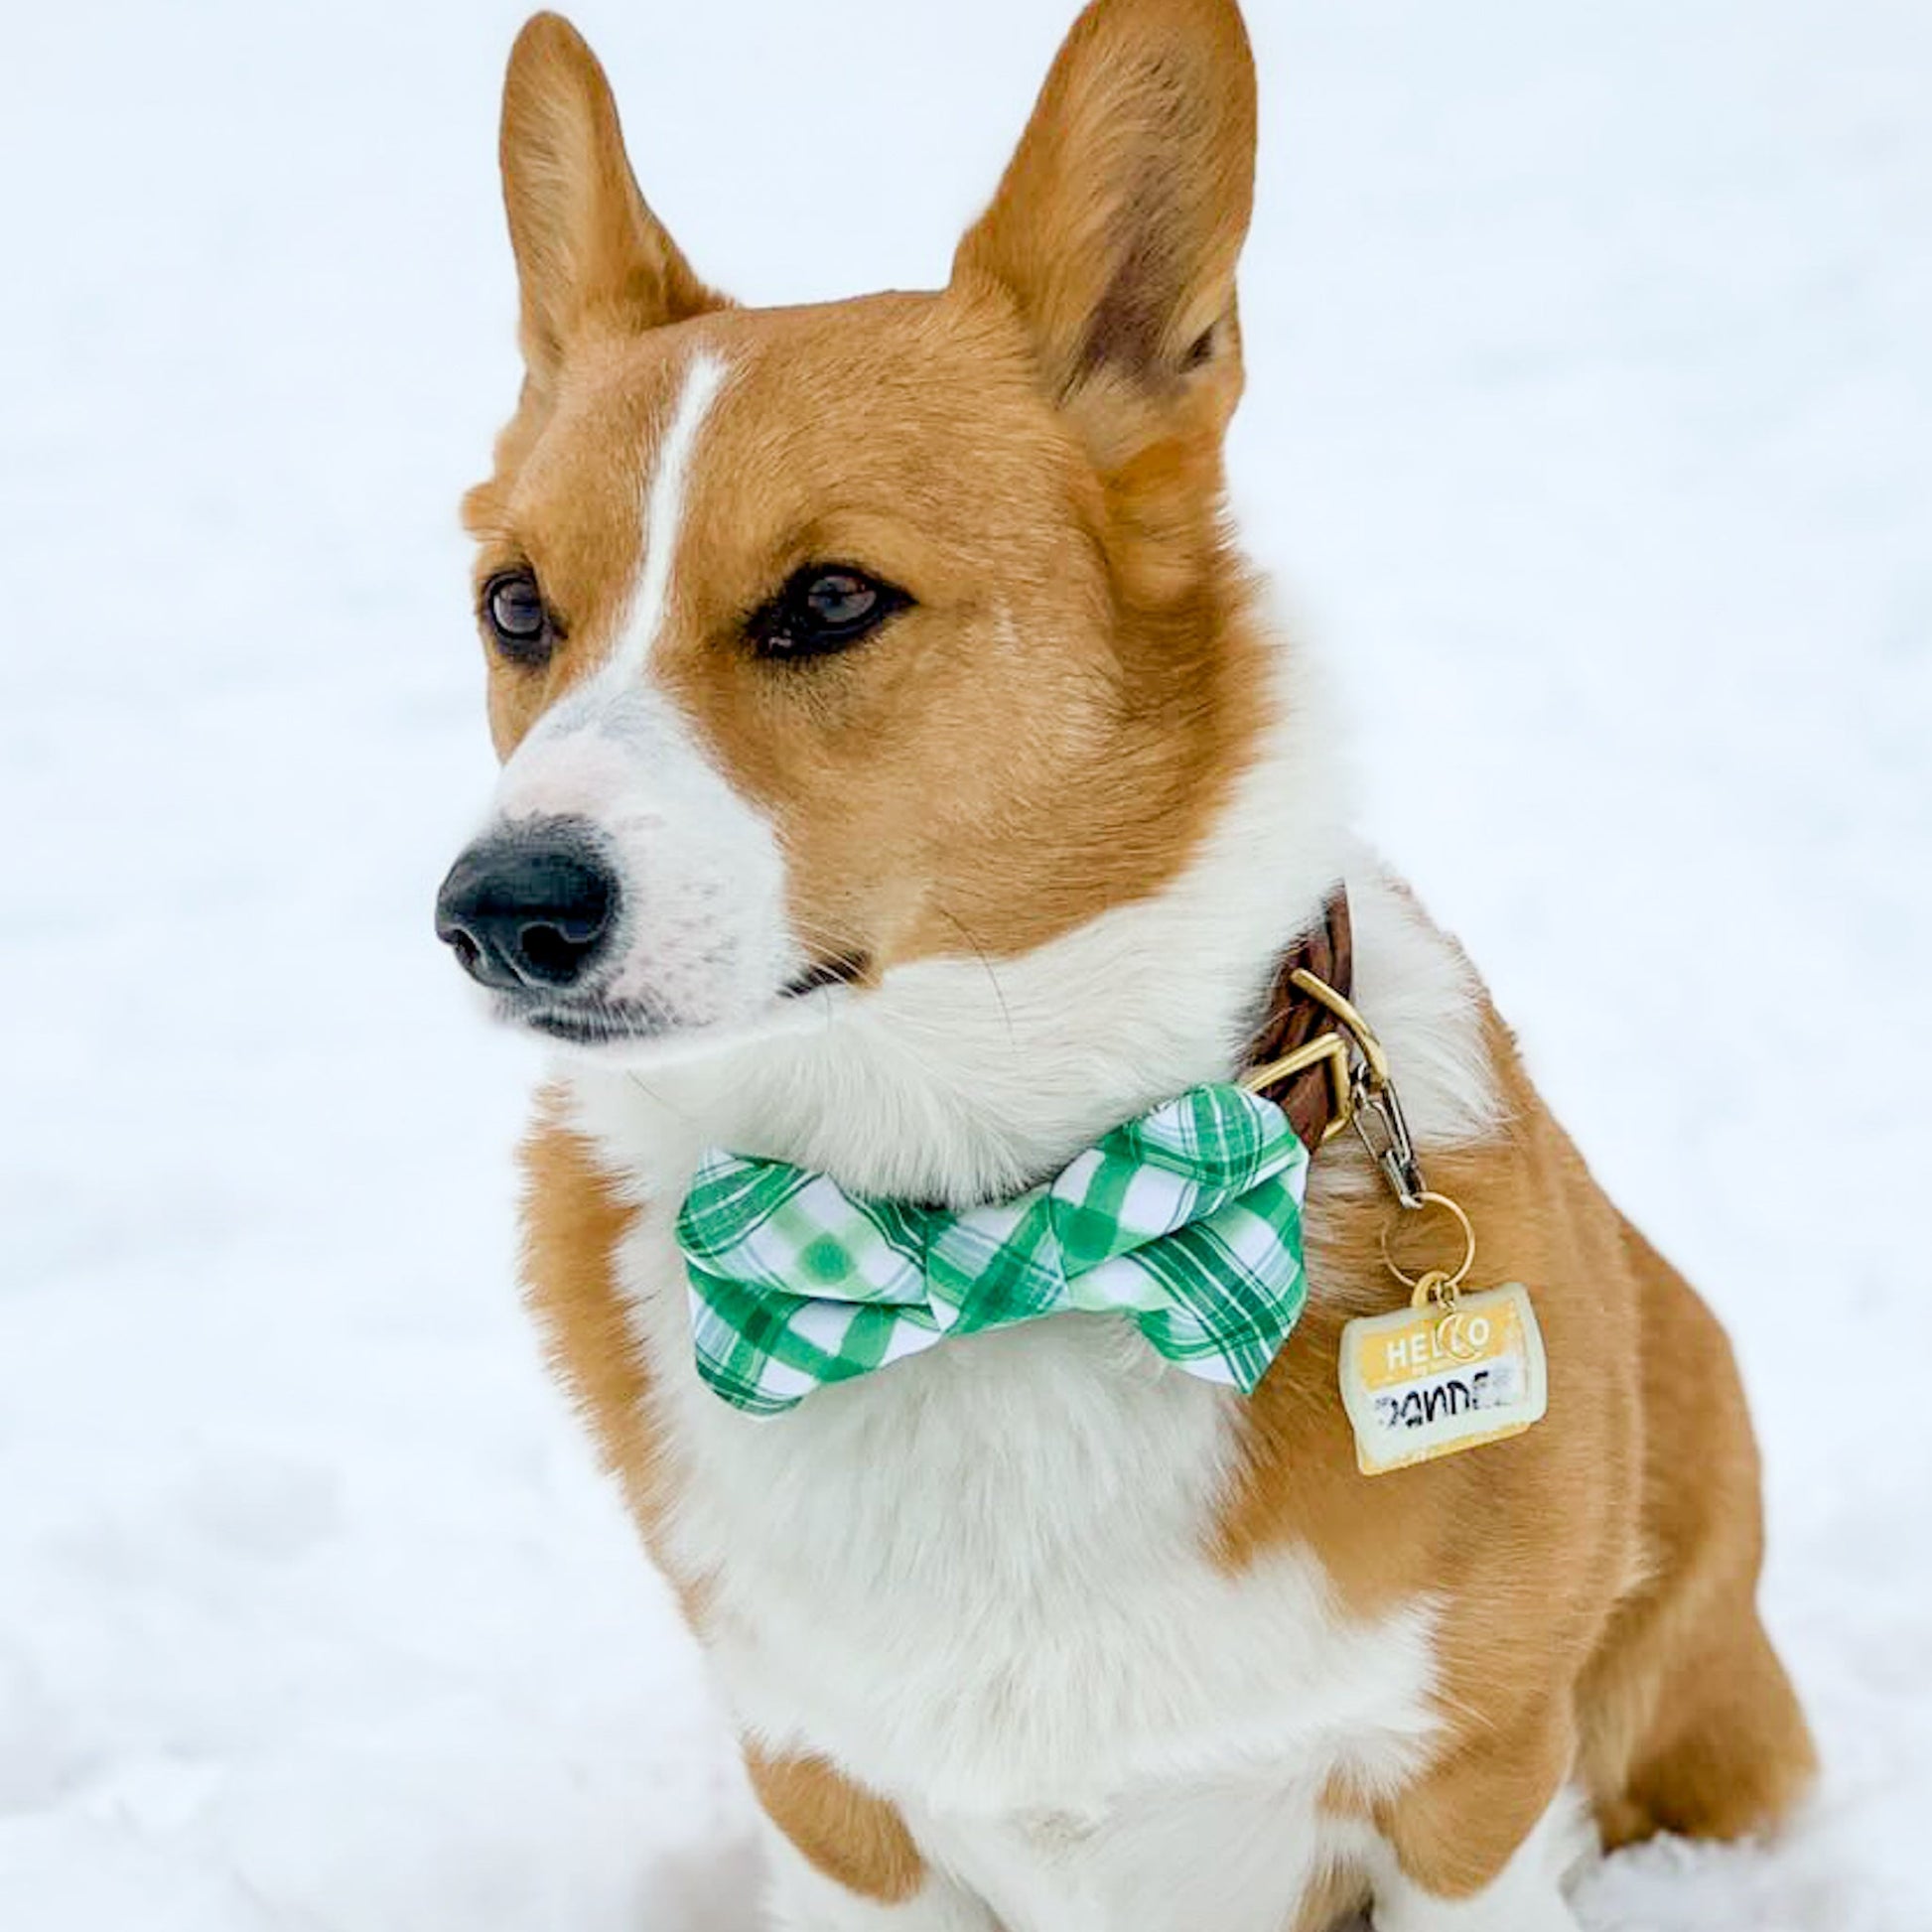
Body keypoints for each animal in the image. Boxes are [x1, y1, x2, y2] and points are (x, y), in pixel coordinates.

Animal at [434, 3, 1808, 1932]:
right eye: (516, 610)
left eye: (830, 601)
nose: (499, 910)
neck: (990, 1238)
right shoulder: (834, 1815)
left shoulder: (1467, 1792)